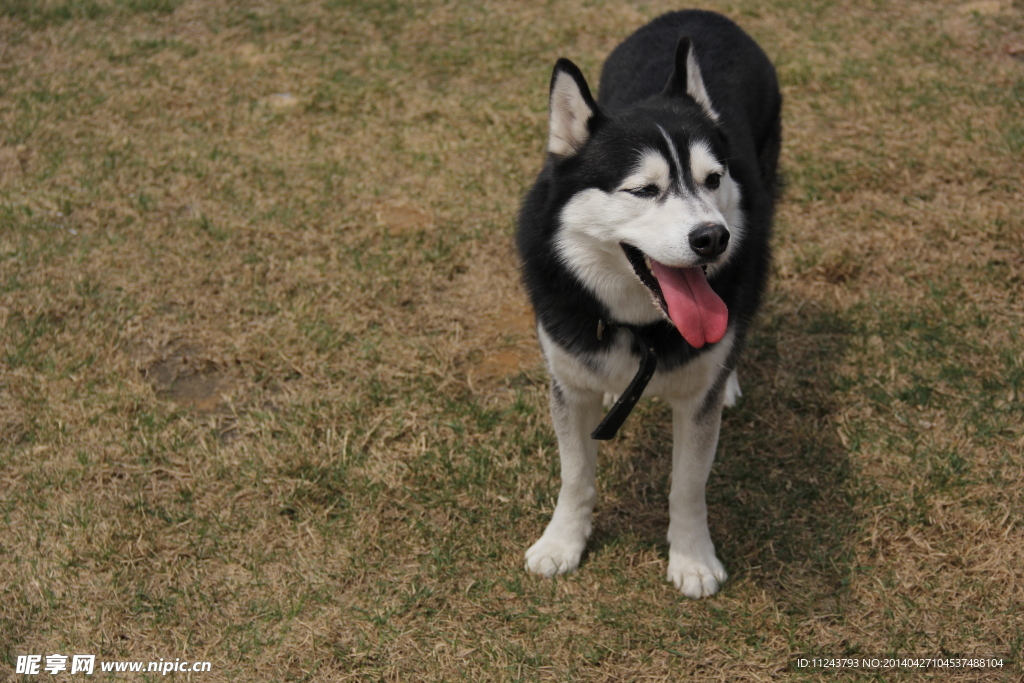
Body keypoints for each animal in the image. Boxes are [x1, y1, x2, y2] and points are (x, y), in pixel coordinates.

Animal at [516, 10, 778, 598]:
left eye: (713, 179)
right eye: (643, 190)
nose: (714, 238)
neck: (638, 325)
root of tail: (698, 14)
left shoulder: (695, 404)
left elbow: (688, 485)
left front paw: (692, 559)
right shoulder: (570, 384)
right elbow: (575, 475)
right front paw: (562, 543)